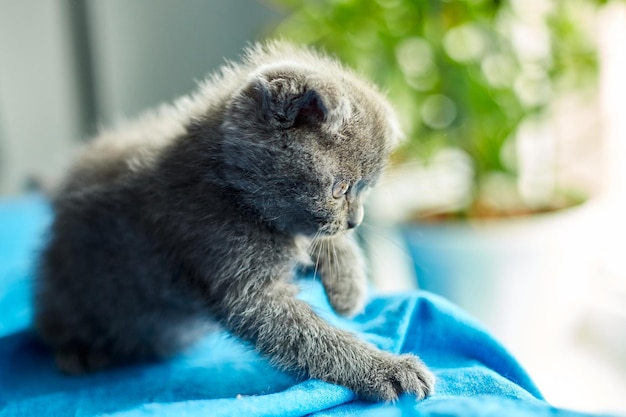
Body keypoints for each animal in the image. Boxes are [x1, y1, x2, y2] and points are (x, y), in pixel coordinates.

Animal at [35, 41, 434, 400]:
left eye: (365, 190)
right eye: (340, 189)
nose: (356, 221)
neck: (232, 190)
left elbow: (319, 242)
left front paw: (348, 287)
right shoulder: (241, 280)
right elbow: (313, 338)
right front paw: (387, 368)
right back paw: (80, 352)